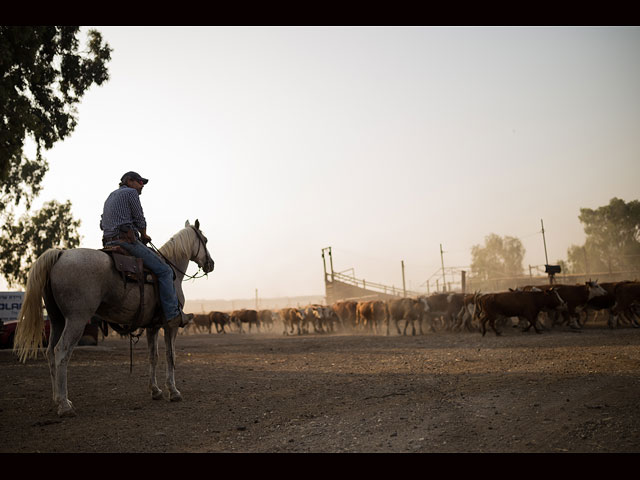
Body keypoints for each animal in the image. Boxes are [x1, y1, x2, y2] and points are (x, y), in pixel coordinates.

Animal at [13, 218, 214, 416]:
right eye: (204, 240)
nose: (210, 264)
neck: (172, 272)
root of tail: (61, 254)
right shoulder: (170, 325)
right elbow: (170, 355)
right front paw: (173, 391)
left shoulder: (153, 326)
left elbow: (153, 356)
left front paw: (155, 391)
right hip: (76, 320)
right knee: (61, 351)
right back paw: (64, 405)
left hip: (57, 320)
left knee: (50, 352)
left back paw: (58, 399)